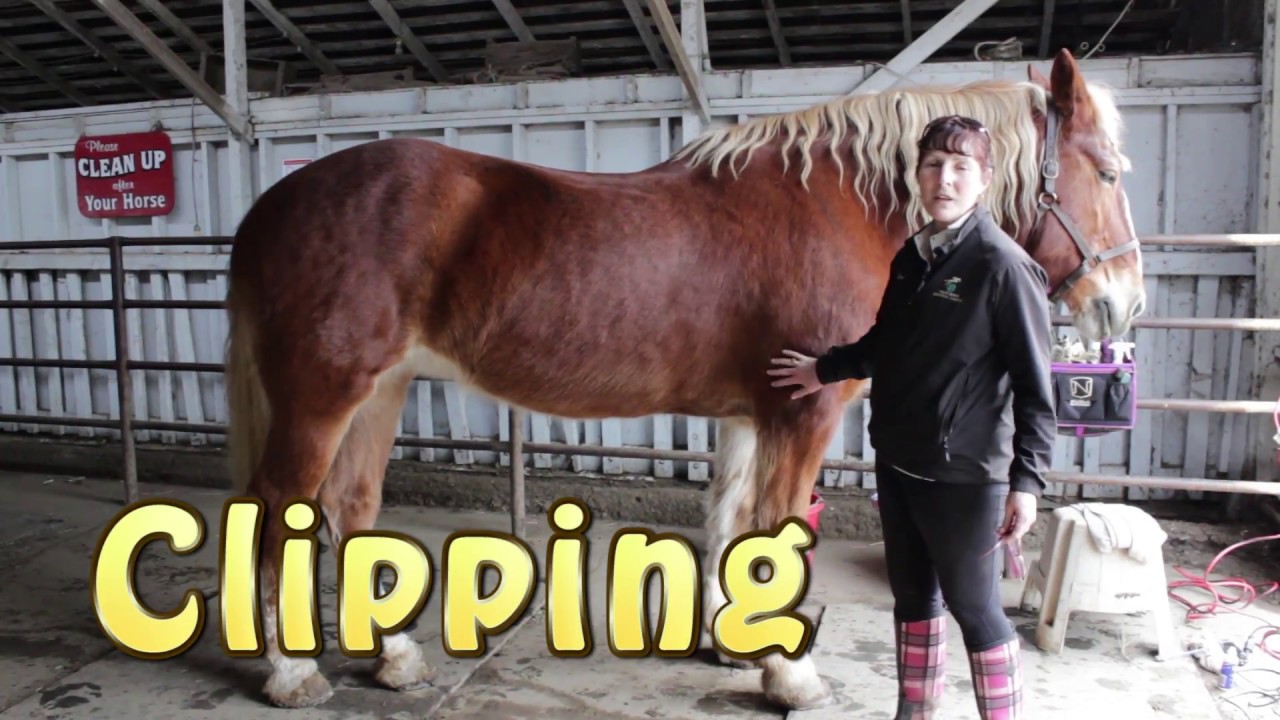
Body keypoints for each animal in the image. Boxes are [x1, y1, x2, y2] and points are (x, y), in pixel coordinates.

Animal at [222, 47, 1146, 711]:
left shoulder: (744, 416)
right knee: (276, 515)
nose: (1123, 306)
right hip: (322, 393)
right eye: (1105, 172)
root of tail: (271, 206)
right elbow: (777, 530)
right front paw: (789, 676)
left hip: (380, 391)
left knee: (347, 506)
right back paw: (290, 673)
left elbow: (731, 525)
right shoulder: (801, 414)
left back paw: (393, 657)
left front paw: (731, 643)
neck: (838, 204)